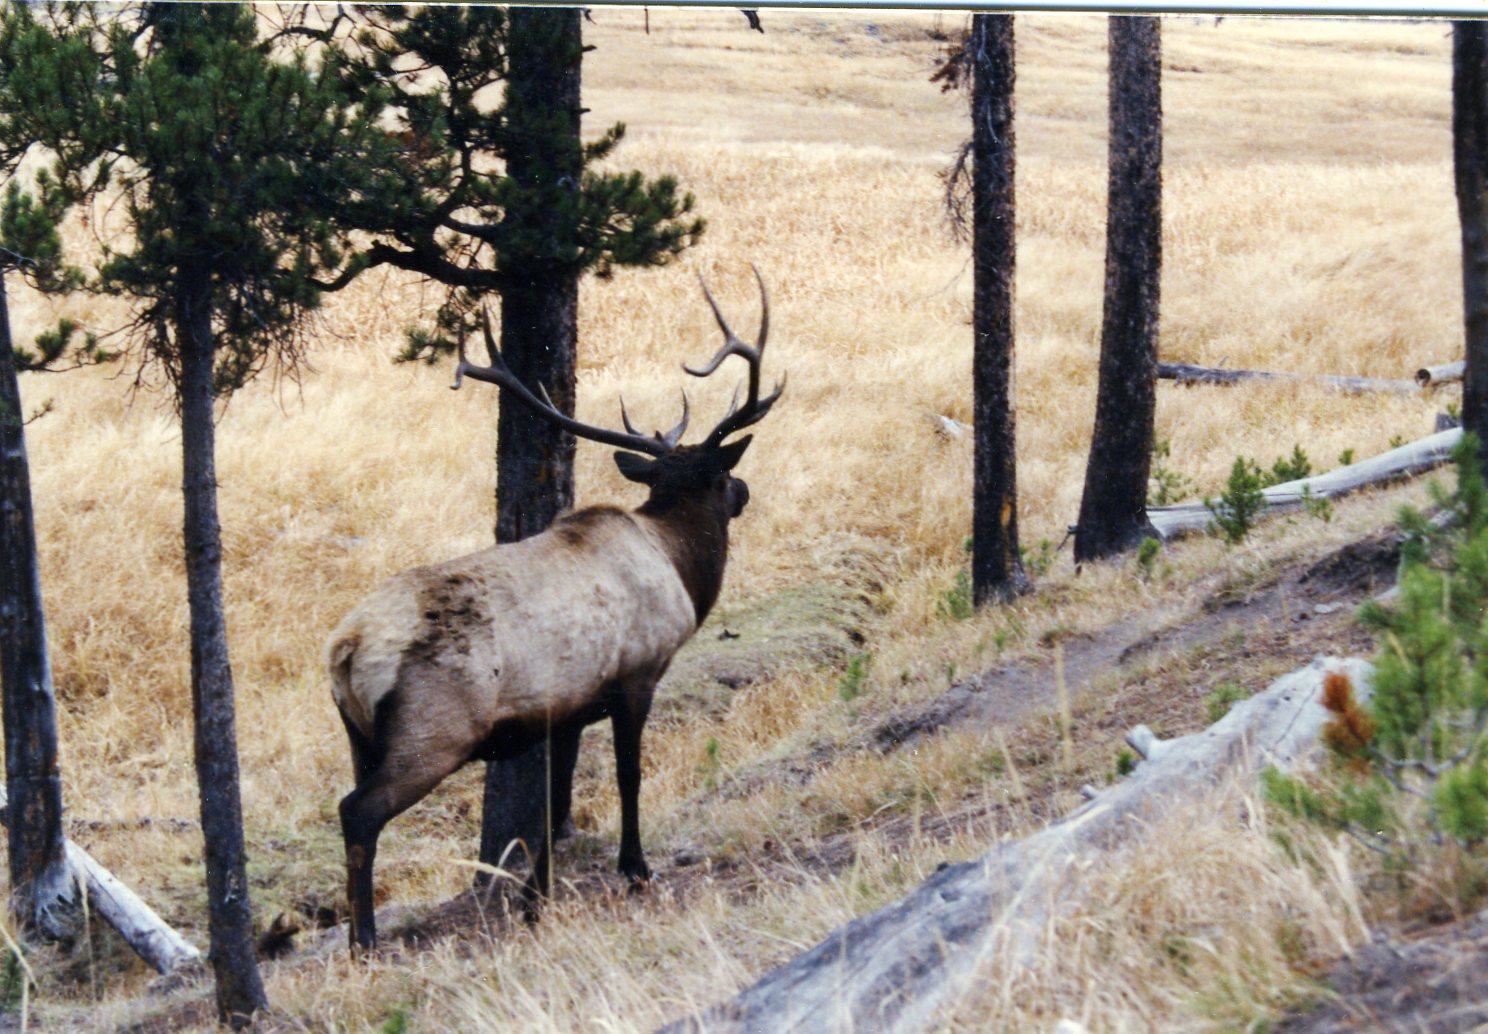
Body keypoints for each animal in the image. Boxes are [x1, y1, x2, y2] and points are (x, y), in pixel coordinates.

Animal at [328, 270, 791, 952]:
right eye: (718, 476)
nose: (743, 490)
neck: (681, 568)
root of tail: (345, 649)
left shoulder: (568, 705)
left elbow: (554, 801)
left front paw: (535, 899)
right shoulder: (636, 674)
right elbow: (628, 774)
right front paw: (635, 868)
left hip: (357, 734)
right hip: (433, 731)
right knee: (358, 812)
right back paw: (365, 942)